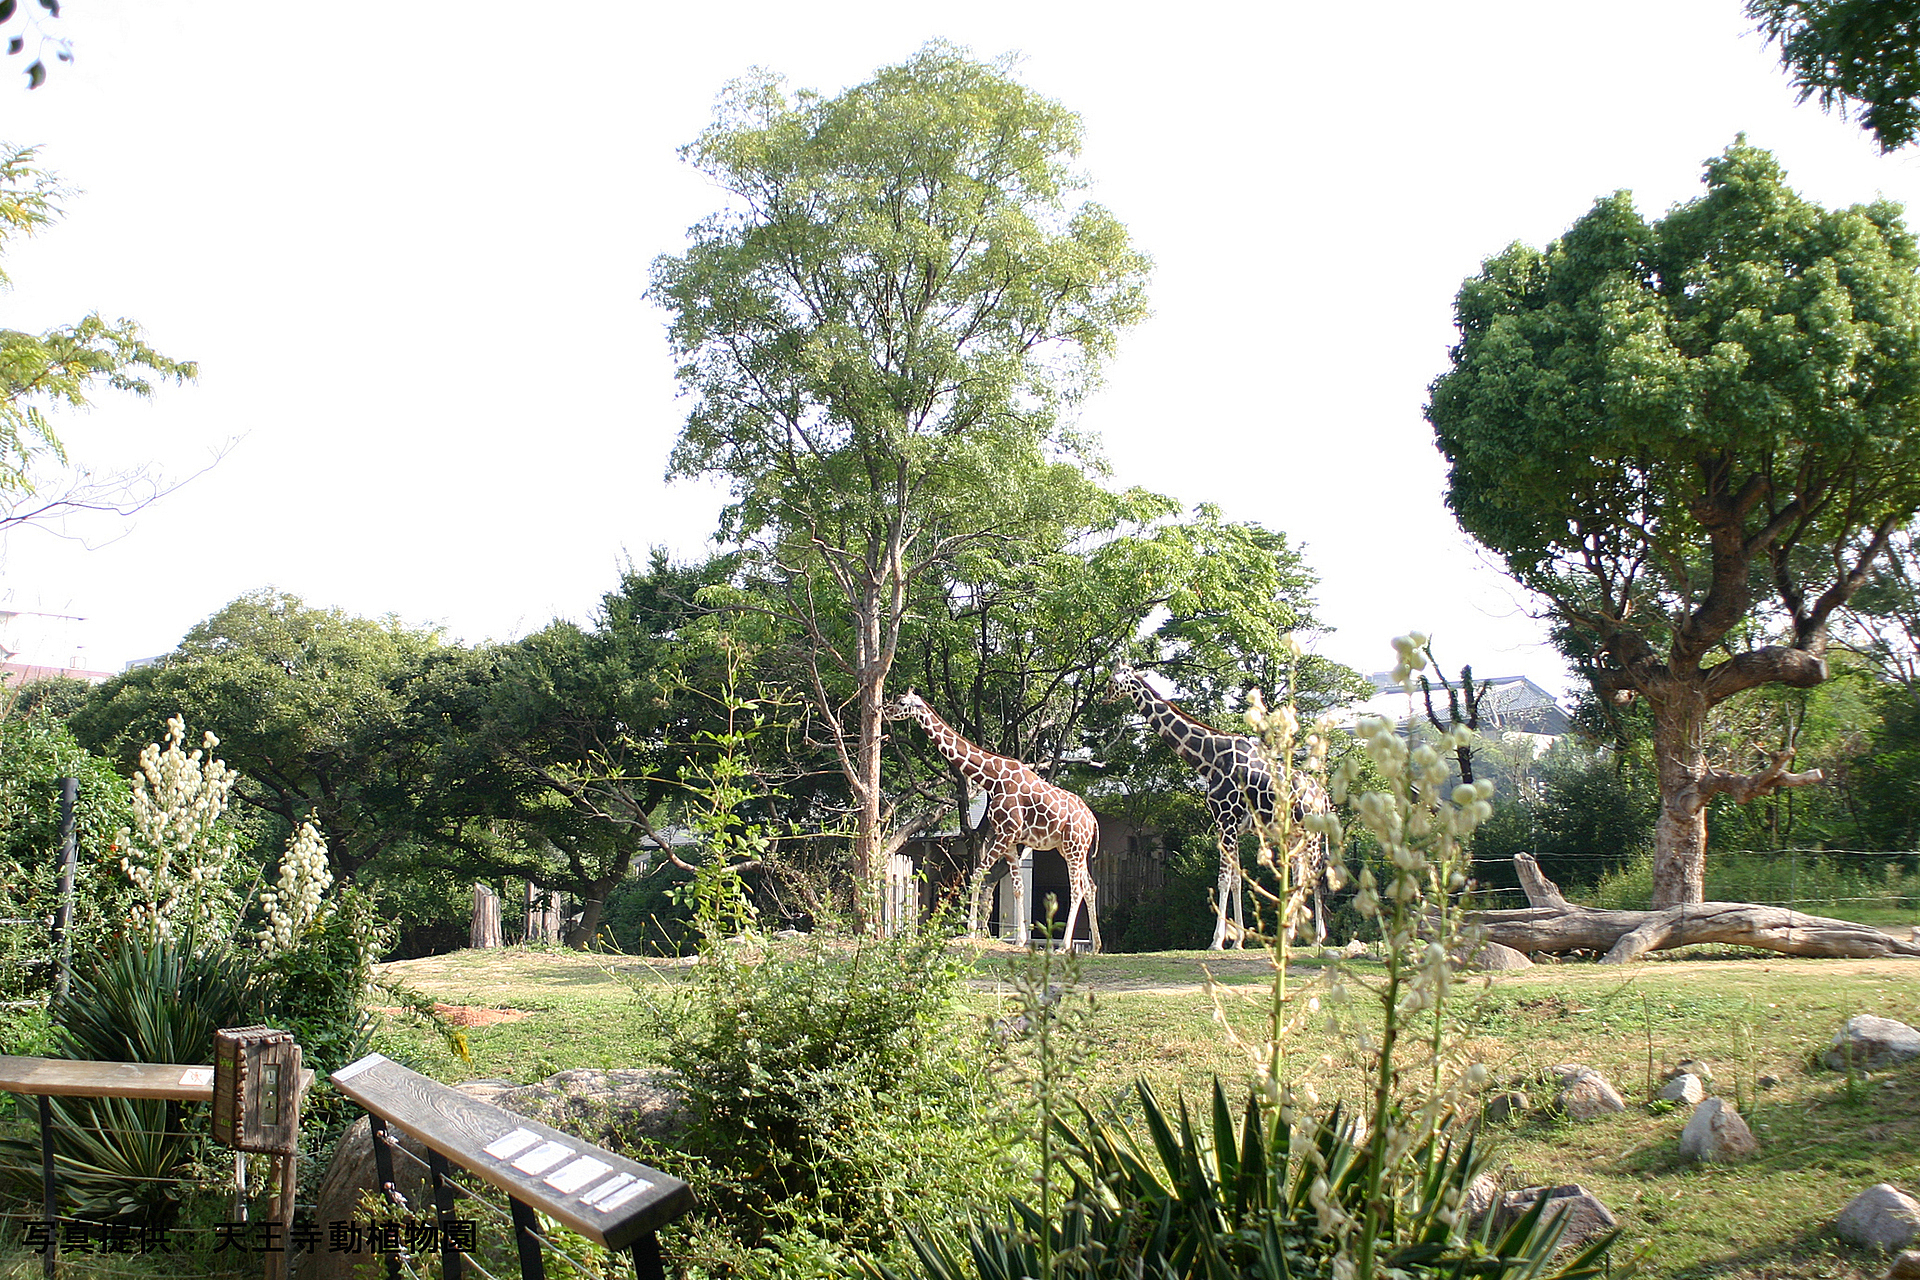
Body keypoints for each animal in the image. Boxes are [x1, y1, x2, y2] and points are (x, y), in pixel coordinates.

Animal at [879, 690, 1105, 951]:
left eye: (901, 703)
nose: (884, 711)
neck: (992, 778)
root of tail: (1093, 821)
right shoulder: (1011, 840)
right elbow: (1017, 887)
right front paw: (1020, 940)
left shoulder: (1006, 833)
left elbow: (977, 874)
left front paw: (969, 931)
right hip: (1071, 848)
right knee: (1090, 886)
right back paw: (1096, 946)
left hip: (1073, 847)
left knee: (1077, 889)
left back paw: (1063, 946)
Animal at [1105, 671, 1328, 951]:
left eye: (1113, 681)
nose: (1103, 697)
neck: (1210, 760)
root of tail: (1324, 796)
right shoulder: (1231, 826)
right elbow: (1237, 880)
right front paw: (1238, 940)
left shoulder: (1226, 821)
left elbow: (1223, 880)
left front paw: (1217, 940)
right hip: (1297, 836)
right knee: (1302, 877)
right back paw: (1293, 936)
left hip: (1312, 835)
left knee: (1315, 877)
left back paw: (1314, 937)